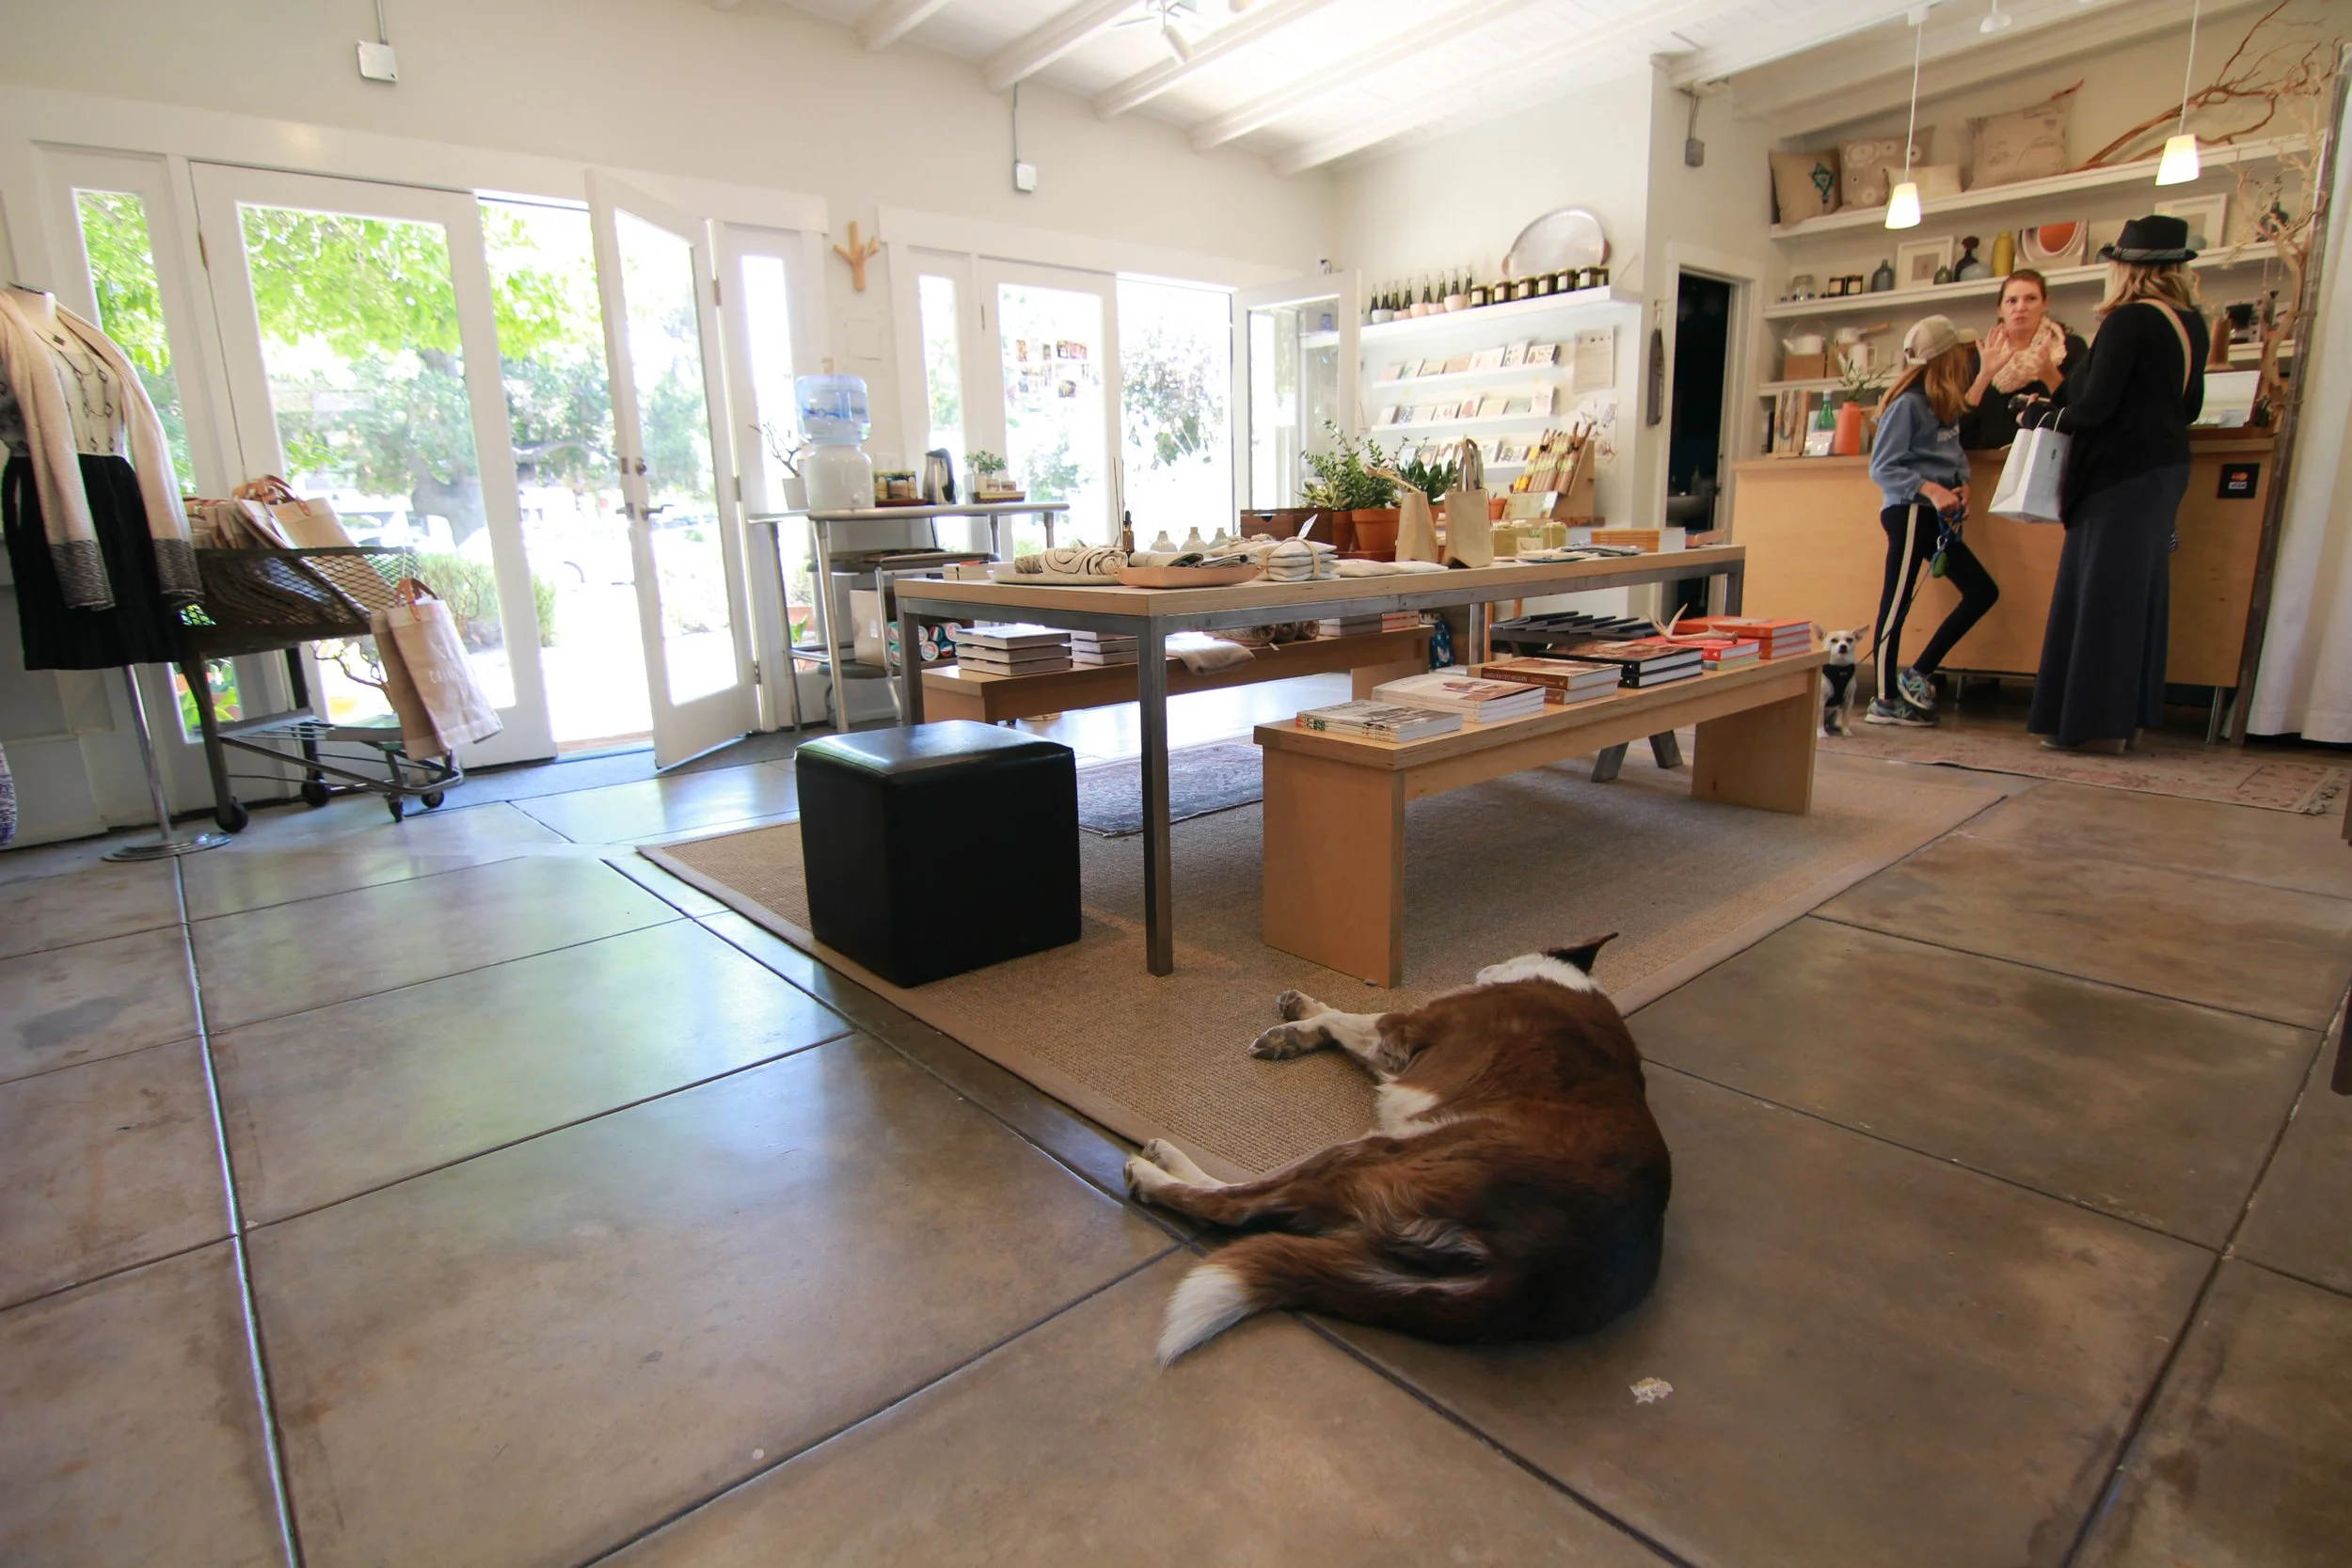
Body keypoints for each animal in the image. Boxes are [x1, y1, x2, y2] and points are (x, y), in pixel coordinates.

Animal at [1124, 935, 1671, 1365]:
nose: (1482, 970)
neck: (1562, 981)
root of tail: (1535, 1272)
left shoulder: (1402, 1029)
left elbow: (1347, 1017)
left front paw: (1295, 1026)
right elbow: (1338, 1020)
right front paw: (1300, 1018)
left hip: (1372, 1152)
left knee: (1236, 1205)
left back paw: (1155, 1170)